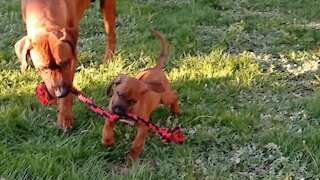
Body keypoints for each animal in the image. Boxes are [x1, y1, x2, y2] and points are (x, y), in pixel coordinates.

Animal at [14, 0, 116, 129]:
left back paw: (108, 59)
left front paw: (65, 117)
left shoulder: (72, 57)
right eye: (43, 68)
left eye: (65, 63)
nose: (61, 93)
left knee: (111, 35)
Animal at [102, 29, 179, 160]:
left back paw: (176, 110)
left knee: (174, 95)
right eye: (119, 94)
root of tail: (156, 68)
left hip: (165, 98)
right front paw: (108, 141)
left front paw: (132, 157)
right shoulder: (111, 115)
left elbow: (137, 143)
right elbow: (107, 129)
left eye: (133, 101)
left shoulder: (143, 126)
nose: (118, 111)